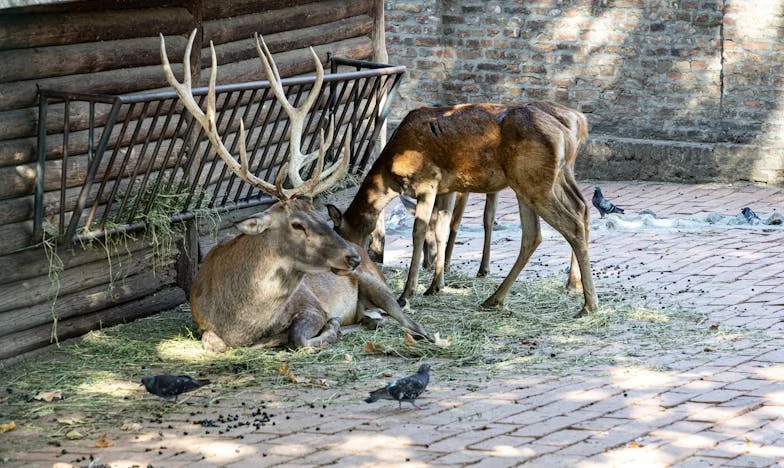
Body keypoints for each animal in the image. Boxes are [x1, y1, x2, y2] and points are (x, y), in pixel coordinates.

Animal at [159, 29, 428, 352]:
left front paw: (330, 327)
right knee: (374, 318)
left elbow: (299, 338)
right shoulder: (204, 325)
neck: (240, 322)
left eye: (321, 217)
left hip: (376, 283)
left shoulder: (311, 305)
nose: (352, 256)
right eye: (297, 225)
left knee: (410, 321)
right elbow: (214, 342)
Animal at [328, 100, 596, 316]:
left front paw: (406, 294)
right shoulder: (446, 188)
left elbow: (418, 232)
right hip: (543, 179)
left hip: (534, 179)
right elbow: (441, 229)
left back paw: (588, 304)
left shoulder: (428, 181)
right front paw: (436, 285)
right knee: (559, 220)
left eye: (339, 234)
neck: (391, 173)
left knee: (570, 223)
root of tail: (570, 128)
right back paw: (495, 298)